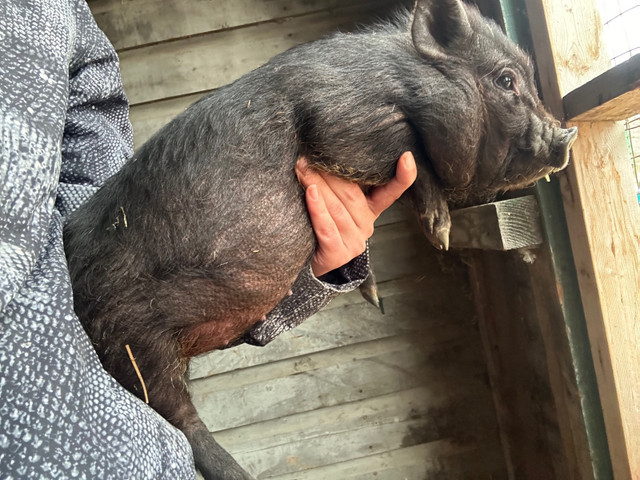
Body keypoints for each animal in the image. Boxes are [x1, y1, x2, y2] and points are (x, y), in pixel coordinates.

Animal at [65, 0, 580, 480]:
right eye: (506, 80)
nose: (566, 137)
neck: (401, 80)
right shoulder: (342, 120)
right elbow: (408, 151)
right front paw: (441, 233)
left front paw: (377, 299)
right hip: (130, 332)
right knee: (176, 414)